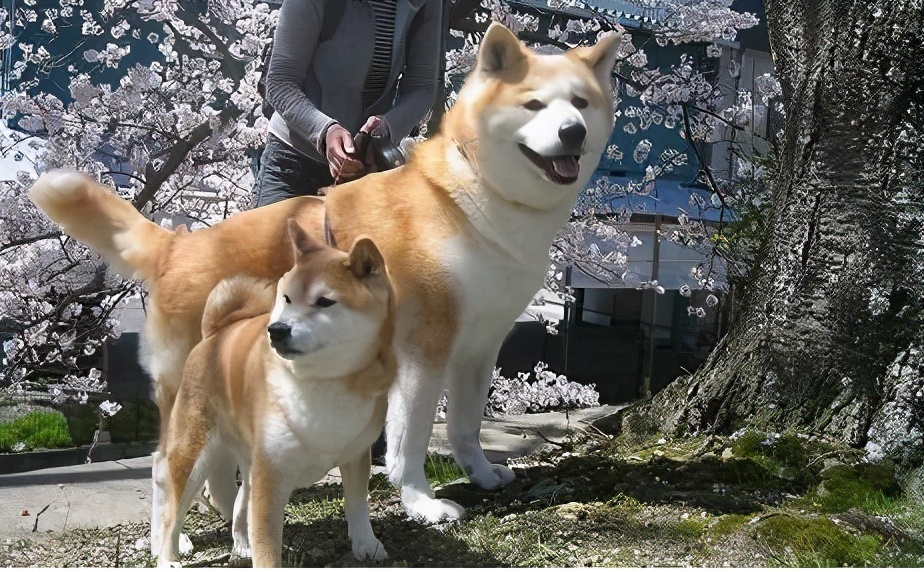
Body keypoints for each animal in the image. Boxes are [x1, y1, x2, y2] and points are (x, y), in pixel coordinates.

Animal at [28, 23, 620, 528]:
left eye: (580, 103)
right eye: (534, 105)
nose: (572, 132)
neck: (470, 197)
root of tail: (177, 243)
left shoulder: (478, 347)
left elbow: (466, 424)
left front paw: (479, 473)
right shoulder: (422, 351)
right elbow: (410, 438)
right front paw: (422, 503)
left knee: (216, 460)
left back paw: (225, 510)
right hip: (184, 393)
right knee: (163, 465)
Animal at [157, 220, 396, 568]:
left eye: (324, 302)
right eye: (286, 299)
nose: (277, 330)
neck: (324, 381)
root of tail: (215, 333)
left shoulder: (354, 455)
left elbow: (357, 504)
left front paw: (368, 544)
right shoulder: (271, 474)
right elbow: (267, 543)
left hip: (248, 458)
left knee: (240, 503)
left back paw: (241, 546)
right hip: (194, 459)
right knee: (171, 518)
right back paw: (169, 558)